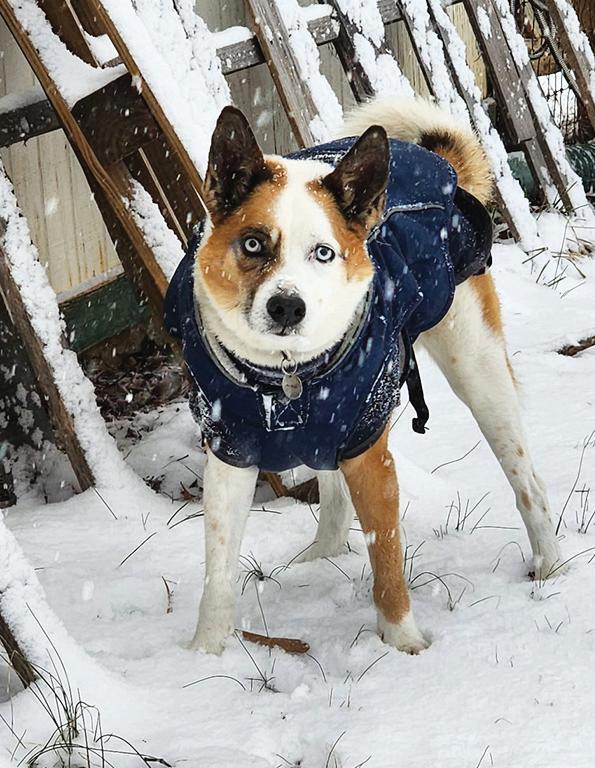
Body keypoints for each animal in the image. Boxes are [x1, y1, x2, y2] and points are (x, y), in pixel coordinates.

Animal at [164, 98, 561, 654]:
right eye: (253, 244)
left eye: (323, 252)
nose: (287, 307)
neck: (288, 378)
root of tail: (437, 162)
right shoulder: (231, 453)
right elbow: (217, 572)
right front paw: (205, 655)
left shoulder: (370, 452)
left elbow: (387, 558)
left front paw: (404, 643)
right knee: (332, 494)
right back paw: (319, 558)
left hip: (478, 373)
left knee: (526, 478)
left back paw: (550, 564)